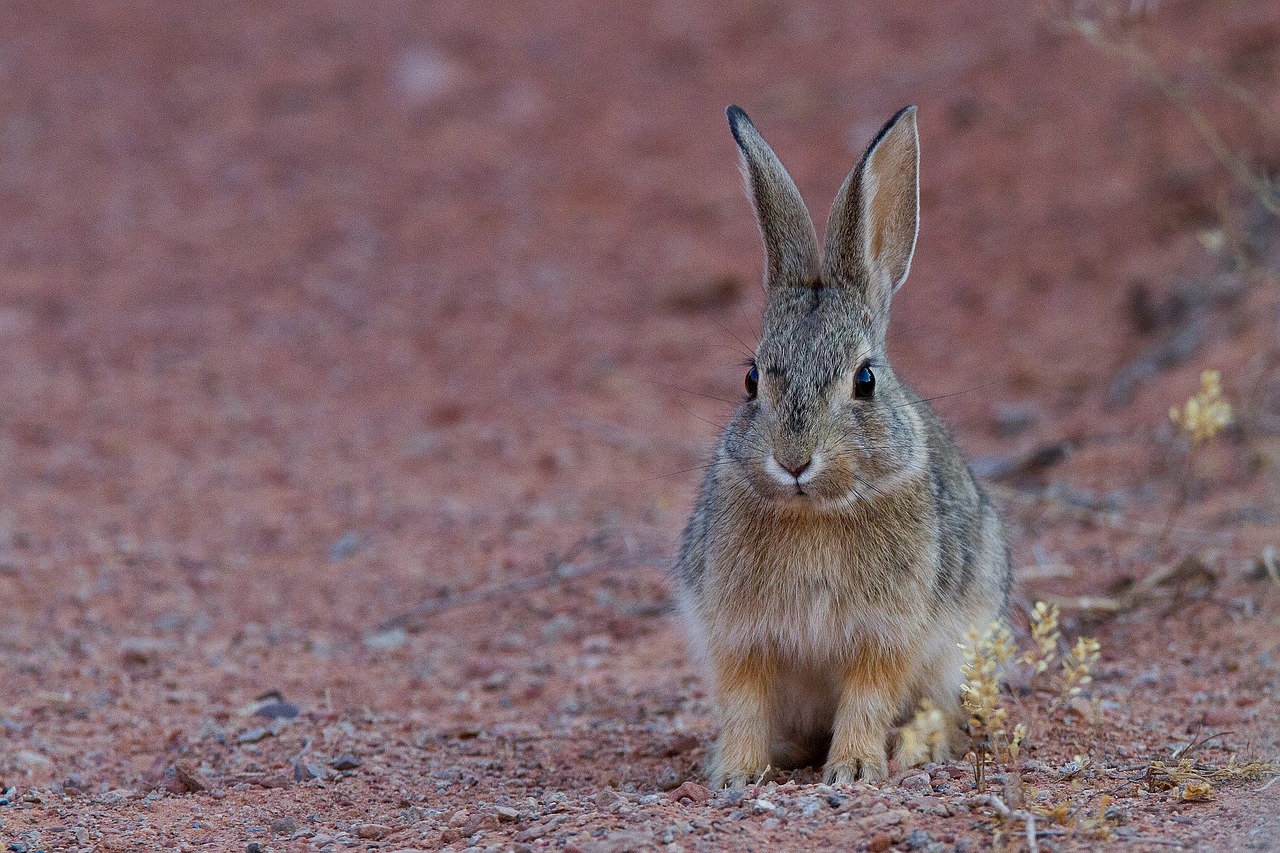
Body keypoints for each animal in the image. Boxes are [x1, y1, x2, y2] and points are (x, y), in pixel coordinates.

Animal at [674, 104, 1012, 788]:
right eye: (752, 380)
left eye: (865, 381)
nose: (793, 460)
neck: (815, 513)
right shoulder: (738, 635)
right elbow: (744, 702)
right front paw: (736, 774)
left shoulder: (885, 635)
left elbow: (867, 698)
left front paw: (853, 768)